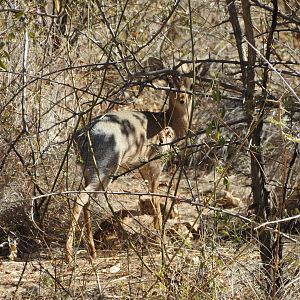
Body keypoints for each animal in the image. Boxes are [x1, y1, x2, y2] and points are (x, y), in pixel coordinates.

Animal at [65, 58, 192, 262]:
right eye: (170, 83)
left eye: (190, 84)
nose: (182, 98)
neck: (168, 121)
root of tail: (83, 135)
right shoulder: (155, 164)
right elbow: (155, 197)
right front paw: (160, 236)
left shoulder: (141, 167)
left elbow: (151, 196)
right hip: (104, 171)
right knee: (80, 198)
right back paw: (69, 255)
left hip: (88, 172)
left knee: (86, 201)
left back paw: (92, 251)